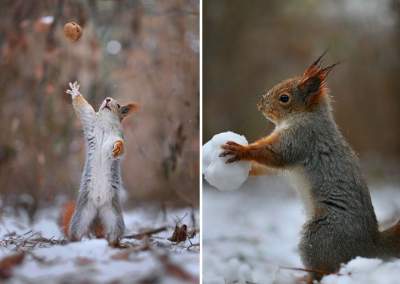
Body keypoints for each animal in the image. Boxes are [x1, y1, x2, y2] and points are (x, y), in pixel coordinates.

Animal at [62, 81, 138, 245]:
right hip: (82, 214)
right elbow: (84, 109)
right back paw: (74, 242)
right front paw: (75, 92)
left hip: (113, 215)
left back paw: (114, 244)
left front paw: (118, 148)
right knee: (77, 231)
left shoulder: (116, 137)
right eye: (105, 99)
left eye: (119, 104)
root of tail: (97, 206)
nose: (107, 99)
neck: (105, 124)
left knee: (114, 232)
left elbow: (119, 145)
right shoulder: (90, 122)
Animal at [220, 53, 400, 282]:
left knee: (325, 271)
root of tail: (369, 247)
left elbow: (274, 155)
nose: (260, 104)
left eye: (284, 98)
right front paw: (246, 169)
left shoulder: (301, 139)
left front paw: (240, 150)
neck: (306, 117)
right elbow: (268, 168)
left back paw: (304, 278)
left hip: (319, 236)